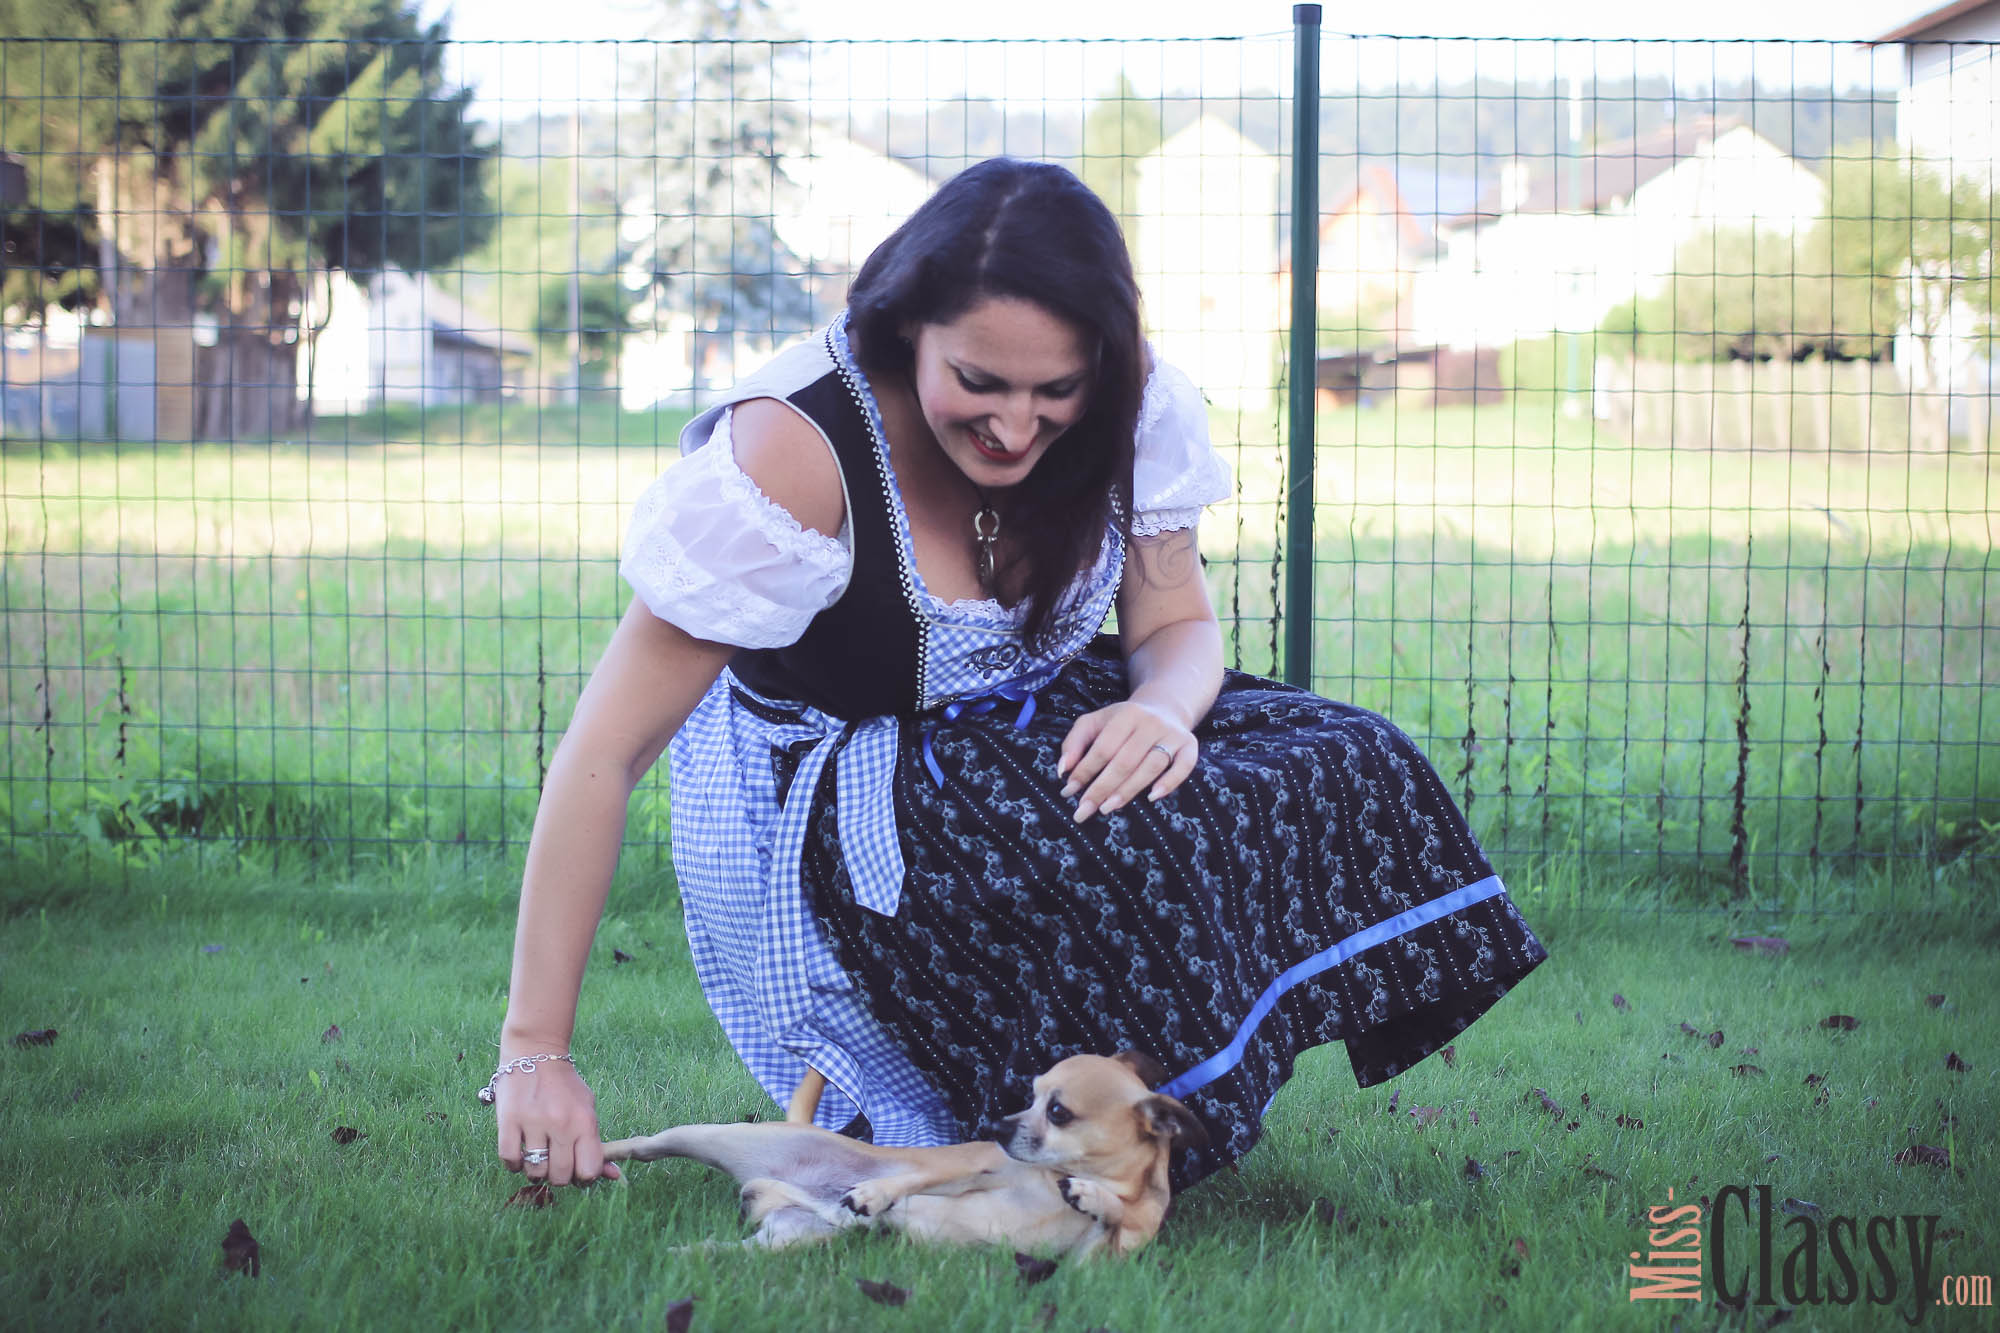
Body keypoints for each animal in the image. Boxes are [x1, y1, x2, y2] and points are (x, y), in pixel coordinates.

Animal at [600, 1048, 1200, 1256]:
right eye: (1029, 1095)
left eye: (1058, 1111)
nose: (996, 1125)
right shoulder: (975, 1164)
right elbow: (917, 1179)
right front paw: (876, 1192)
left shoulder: (1095, 1263)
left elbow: (1118, 1218)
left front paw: (1095, 1199)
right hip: (707, 1135)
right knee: (646, 1145)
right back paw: (595, 1161)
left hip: (787, 1238)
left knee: (730, 1250)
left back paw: (686, 1253)